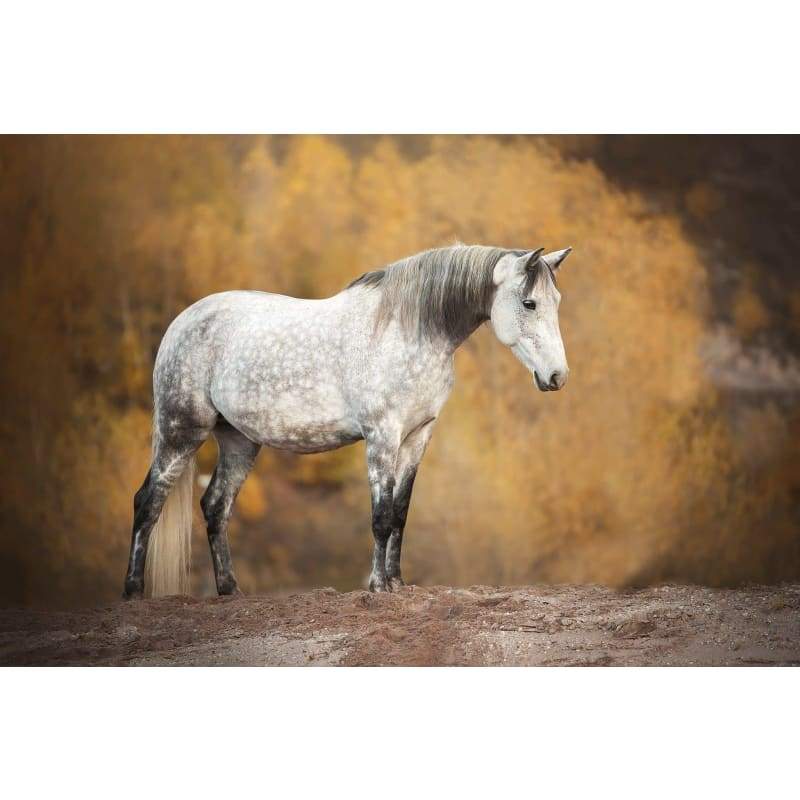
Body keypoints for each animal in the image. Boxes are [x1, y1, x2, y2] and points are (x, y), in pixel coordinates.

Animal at [122, 244, 572, 599]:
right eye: (529, 303)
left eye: (556, 301)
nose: (557, 377)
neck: (407, 330)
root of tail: (181, 322)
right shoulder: (382, 436)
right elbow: (381, 515)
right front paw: (378, 586)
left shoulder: (417, 436)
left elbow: (401, 512)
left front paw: (397, 582)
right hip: (181, 431)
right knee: (148, 501)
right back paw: (133, 592)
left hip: (238, 440)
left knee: (215, 506)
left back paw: (230, 590)